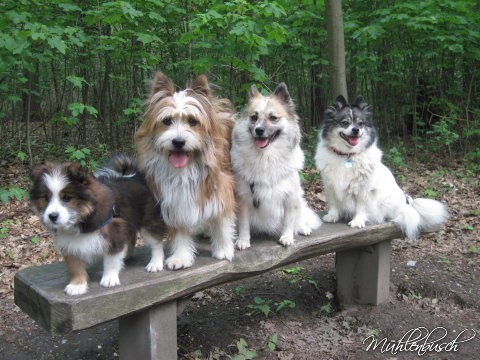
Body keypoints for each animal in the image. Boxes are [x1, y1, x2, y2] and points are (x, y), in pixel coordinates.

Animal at [30, 155, 165, 296]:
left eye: (67, 198)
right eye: (46, 198)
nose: (52, 216)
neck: (83, 217)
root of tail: (134, 175)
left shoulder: (114, 232)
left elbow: (111, 259)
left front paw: (109, 278)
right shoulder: (68, 241)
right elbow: (74, 264)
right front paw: (77, 284)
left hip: (148, 222)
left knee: (156, 243)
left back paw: (155, 263)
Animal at [135, 71, 236, 270]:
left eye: (192, 121)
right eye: (167, 121)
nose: (178, 141)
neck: (186, 168)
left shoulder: (220, 188)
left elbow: (221, 220)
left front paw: (223, 248)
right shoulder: (174, 197)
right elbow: (181, 228)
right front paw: (181, 256)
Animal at [231, 83, 320, 249]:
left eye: (273, 118)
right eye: (254, 117)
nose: (259, 130)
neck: (265, 156)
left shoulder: (290, 196)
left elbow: (289, 220)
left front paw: (287, 236)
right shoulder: (244, 198)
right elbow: (244, 223)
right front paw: (243, 240)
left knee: (299, 218)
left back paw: (303, 228)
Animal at [316, 95, 446, 239]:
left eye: (361, 124)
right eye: (345, 123)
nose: (356, 130)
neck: (347, 156)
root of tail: (407, 203)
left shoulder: (364, 189)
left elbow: (361, 206)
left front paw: (358, 221)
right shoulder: (330, 185)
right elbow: (333, 202)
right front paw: (332, 216)